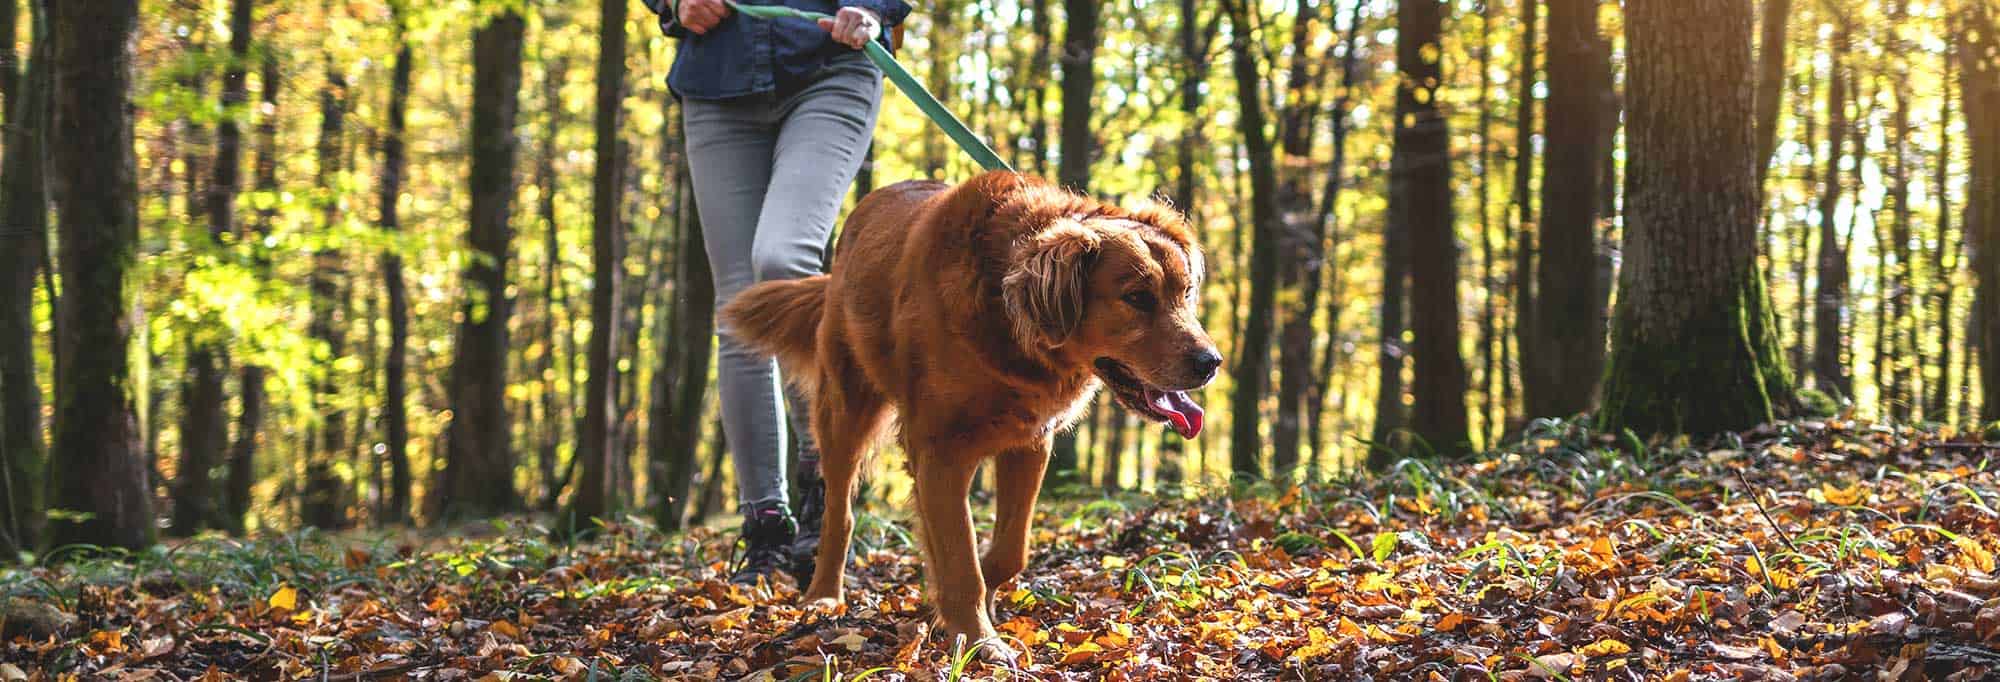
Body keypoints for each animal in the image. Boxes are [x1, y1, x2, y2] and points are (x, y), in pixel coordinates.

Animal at [720, 167, 1216, 656]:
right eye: (1137, 298)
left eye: (1186, 291)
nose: (1211, 362)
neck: (1007, 317)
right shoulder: (940, 450)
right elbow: (962, 560)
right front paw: (980, 642)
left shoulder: (1029, 443)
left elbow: (1006, 552)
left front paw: (951, 609)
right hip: (843, 412)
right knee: (838, 514)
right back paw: (823, 595)